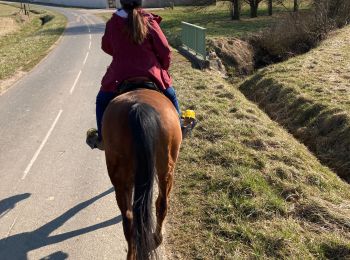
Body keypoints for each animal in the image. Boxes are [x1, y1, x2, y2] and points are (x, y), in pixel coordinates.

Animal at [102, 88, 182, 260]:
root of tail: (138, 108)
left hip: (122, 177)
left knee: (129, 217)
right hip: (166, 169)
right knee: (160, 204)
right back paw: (157, 237)